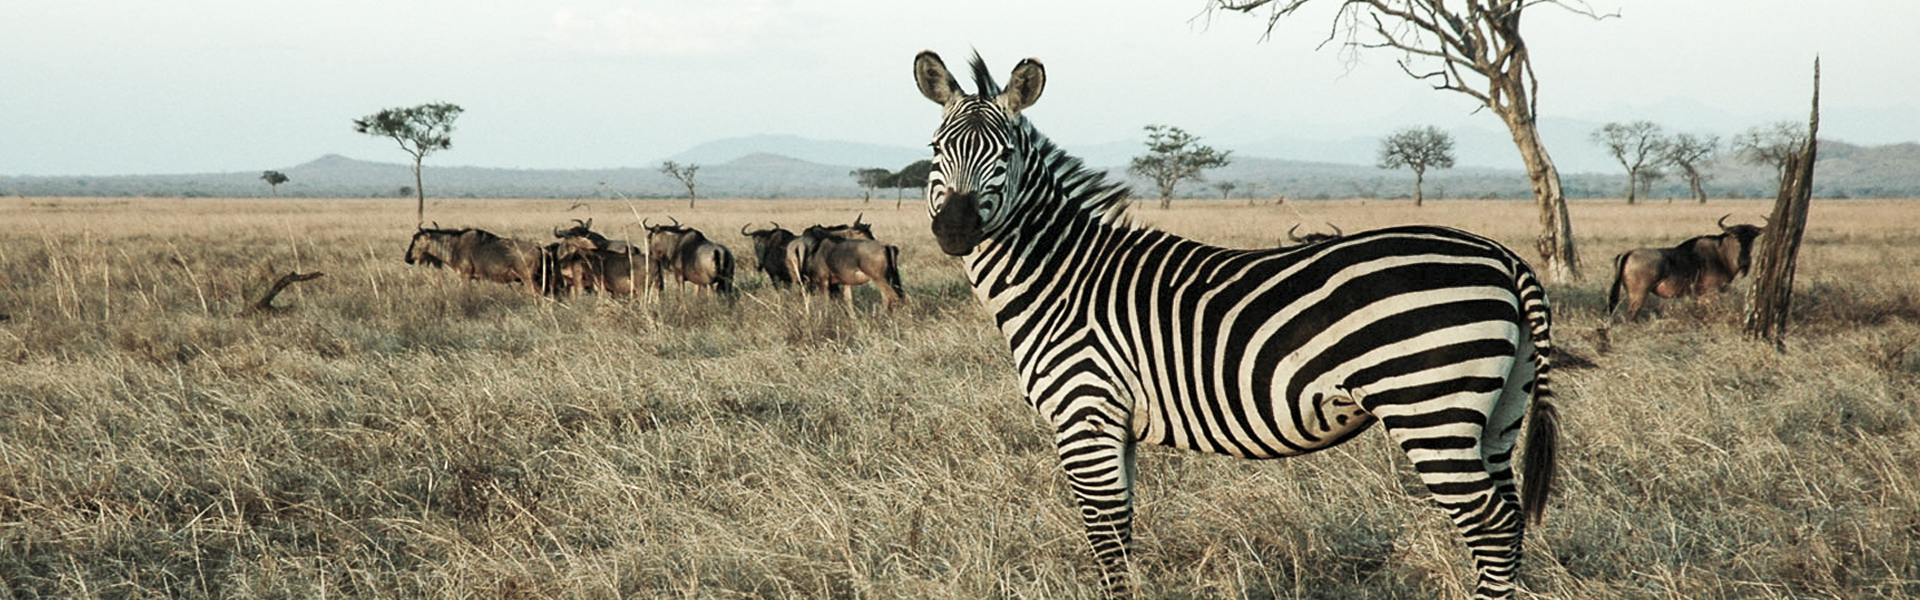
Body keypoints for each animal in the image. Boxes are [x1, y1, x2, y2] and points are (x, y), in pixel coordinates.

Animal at [913, 51, 1559, 600]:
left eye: (1005, 155)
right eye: (936, 149)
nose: (954, 229)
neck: (1062, 276)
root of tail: (1505, 257)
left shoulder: (1085, 415)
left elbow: (1106, 538)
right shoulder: (1115, 426)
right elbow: (1123, 531)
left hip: (1429, 407)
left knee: (1491, 526)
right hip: (1498, 412)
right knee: (1509, 520)